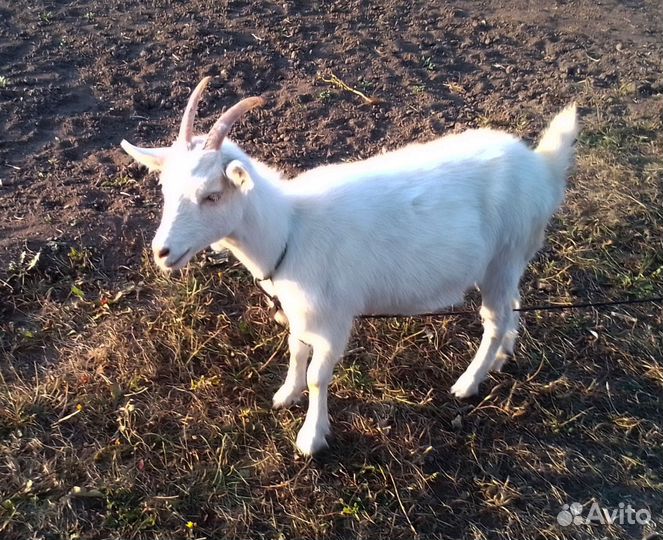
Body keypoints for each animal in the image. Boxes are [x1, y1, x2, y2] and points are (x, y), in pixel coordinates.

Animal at [121, 77, 578, 455]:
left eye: (212, 195)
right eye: (165, 189)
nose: (162, 252)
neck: (290, 228)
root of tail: (542, 168)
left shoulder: (333, 320)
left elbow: (318, 375)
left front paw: (311, 437)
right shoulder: (301, 313)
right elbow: (295, 351)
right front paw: (285, 395)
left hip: (503, 256)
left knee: (494, 320)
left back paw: (469, 381)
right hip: (507, 261)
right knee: (512, 306)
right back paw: (502, 356)